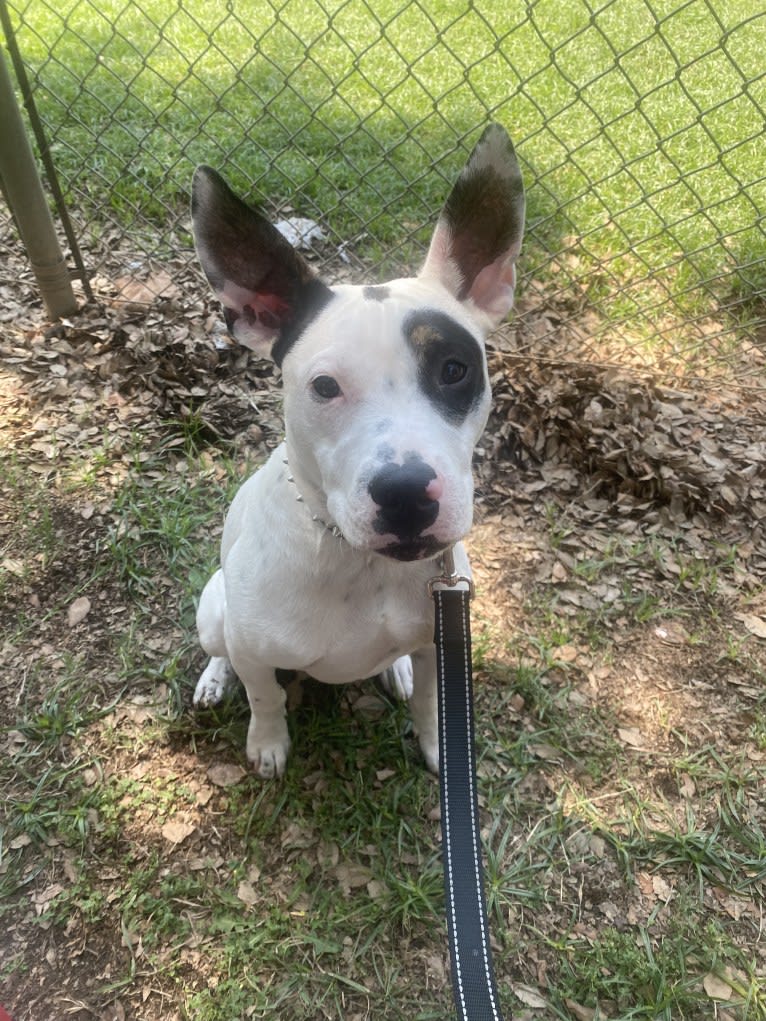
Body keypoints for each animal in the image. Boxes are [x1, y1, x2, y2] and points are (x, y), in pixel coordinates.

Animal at [192, 129, 527, 780]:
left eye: (454, 370)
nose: (406, 495)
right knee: (222, 649)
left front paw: (436, 743)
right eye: (325, 386)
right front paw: (267, 743)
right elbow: (265, 694)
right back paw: (215, 680)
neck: (360, 565)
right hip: (214, 610)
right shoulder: (255, 648)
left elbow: (433, 700)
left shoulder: (439, 642)